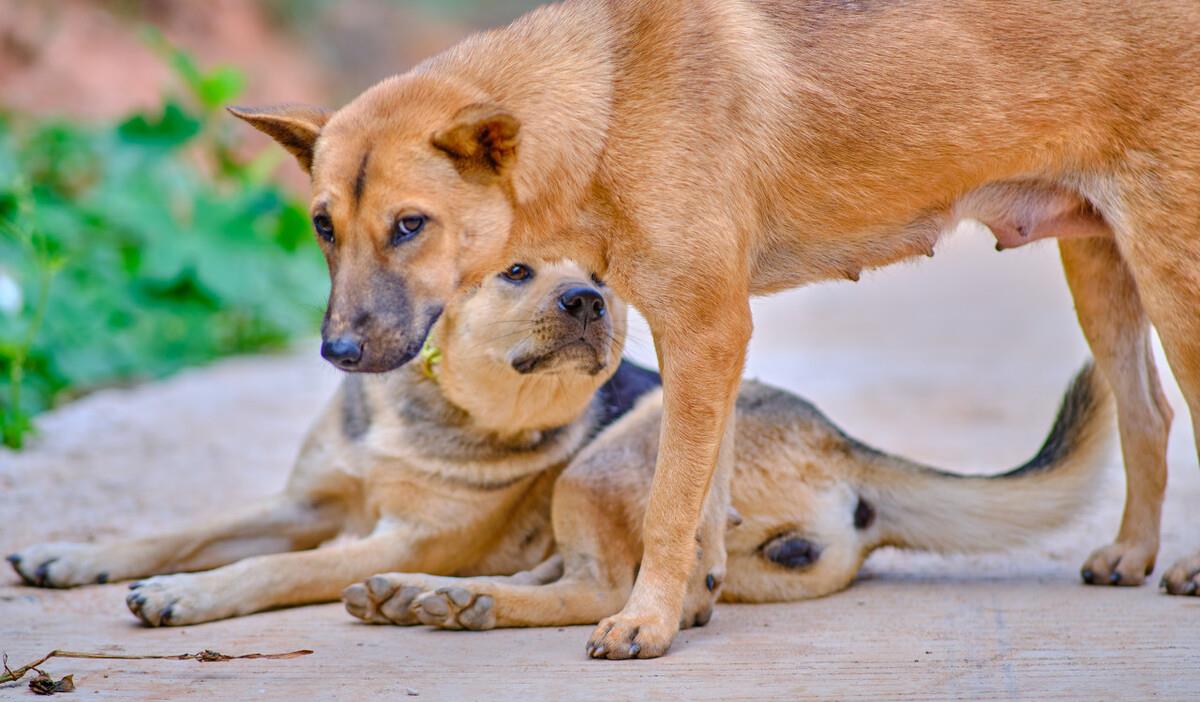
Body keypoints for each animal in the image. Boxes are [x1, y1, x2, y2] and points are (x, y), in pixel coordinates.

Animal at [226, 0, 1200, 657]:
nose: (339, 354)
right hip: (1099, 267)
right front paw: (686, 604)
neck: (607, 103)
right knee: (1147, 411)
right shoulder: (706, 342)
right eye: (322, 225)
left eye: (410, 225)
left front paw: (648, 620)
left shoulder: (706, 330)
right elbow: (702, 502)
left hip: (1171, 272)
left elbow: (669, 505)